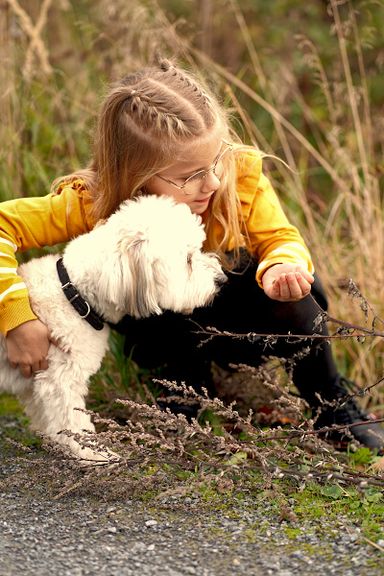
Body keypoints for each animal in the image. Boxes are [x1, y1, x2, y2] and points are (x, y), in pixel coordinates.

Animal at [0, 196, 225, 462]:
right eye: (188, 260)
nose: (222, 279)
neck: (76, 296)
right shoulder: (61, 380)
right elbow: (73, 420)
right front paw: (93, 452)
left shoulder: (37, 382)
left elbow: (48, 417)